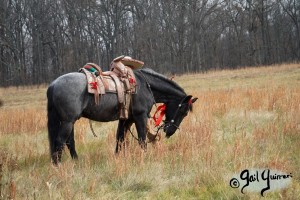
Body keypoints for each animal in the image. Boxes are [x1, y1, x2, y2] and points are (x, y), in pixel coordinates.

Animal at [46, 67, 197, 164]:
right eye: (183, 111)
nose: (170, 131)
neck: (144, 85)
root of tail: (53, 85)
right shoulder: (140, 117)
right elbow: (142, 139)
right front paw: (144, 157)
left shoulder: (126, 119)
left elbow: (120, 138)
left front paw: (118, 158)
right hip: (67, 122)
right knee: (60, 142)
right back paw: (58, 166)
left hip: (68, 122)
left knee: (69, 142)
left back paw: (75, 162)